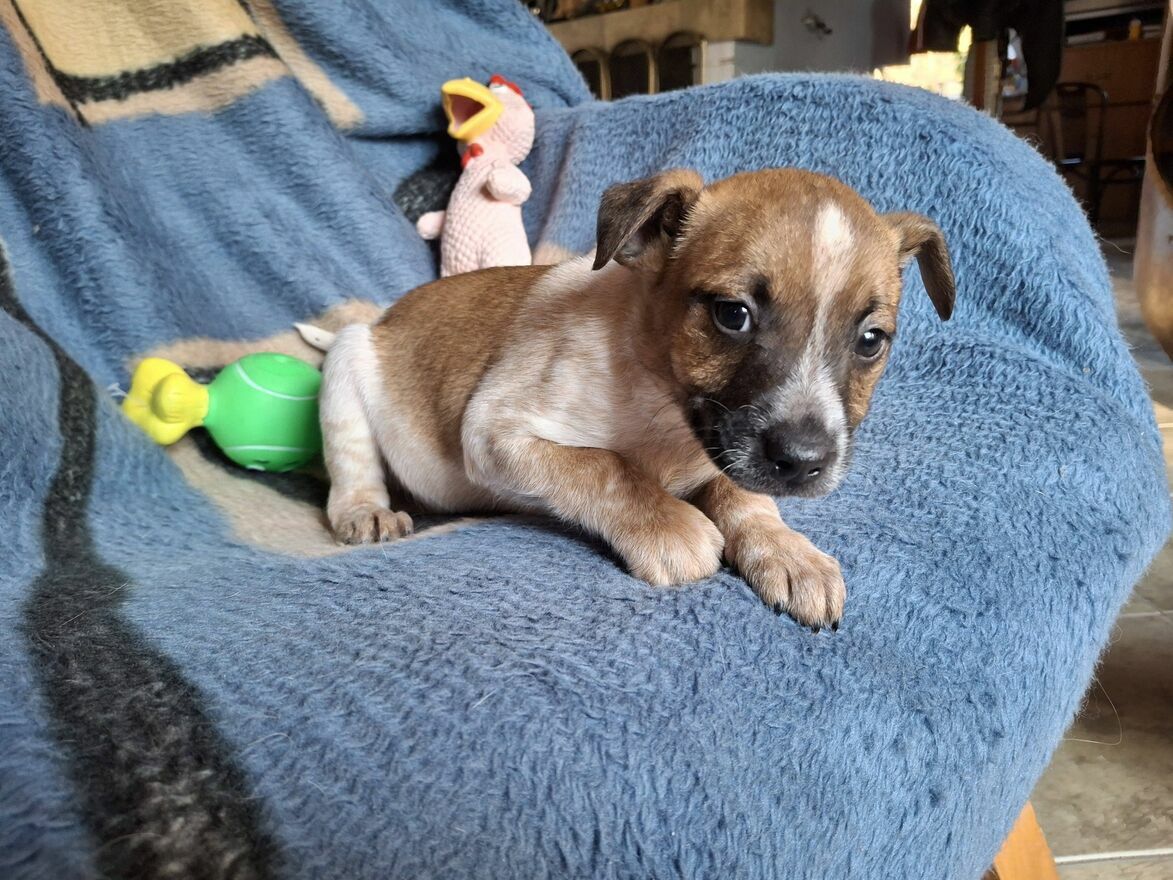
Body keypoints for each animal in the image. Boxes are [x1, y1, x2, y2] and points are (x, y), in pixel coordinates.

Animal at [315, 168, 955, 628]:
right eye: (732, 314)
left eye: (870, 340)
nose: (802, 463)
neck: (664, 411)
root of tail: (385, 318)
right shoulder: (495, 430)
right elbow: (604, 467)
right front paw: (670, 527)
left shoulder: (722, 453)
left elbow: (744, 497)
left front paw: (787, 552)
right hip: (346, 364)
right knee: (352, 466)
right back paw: (366, 511)